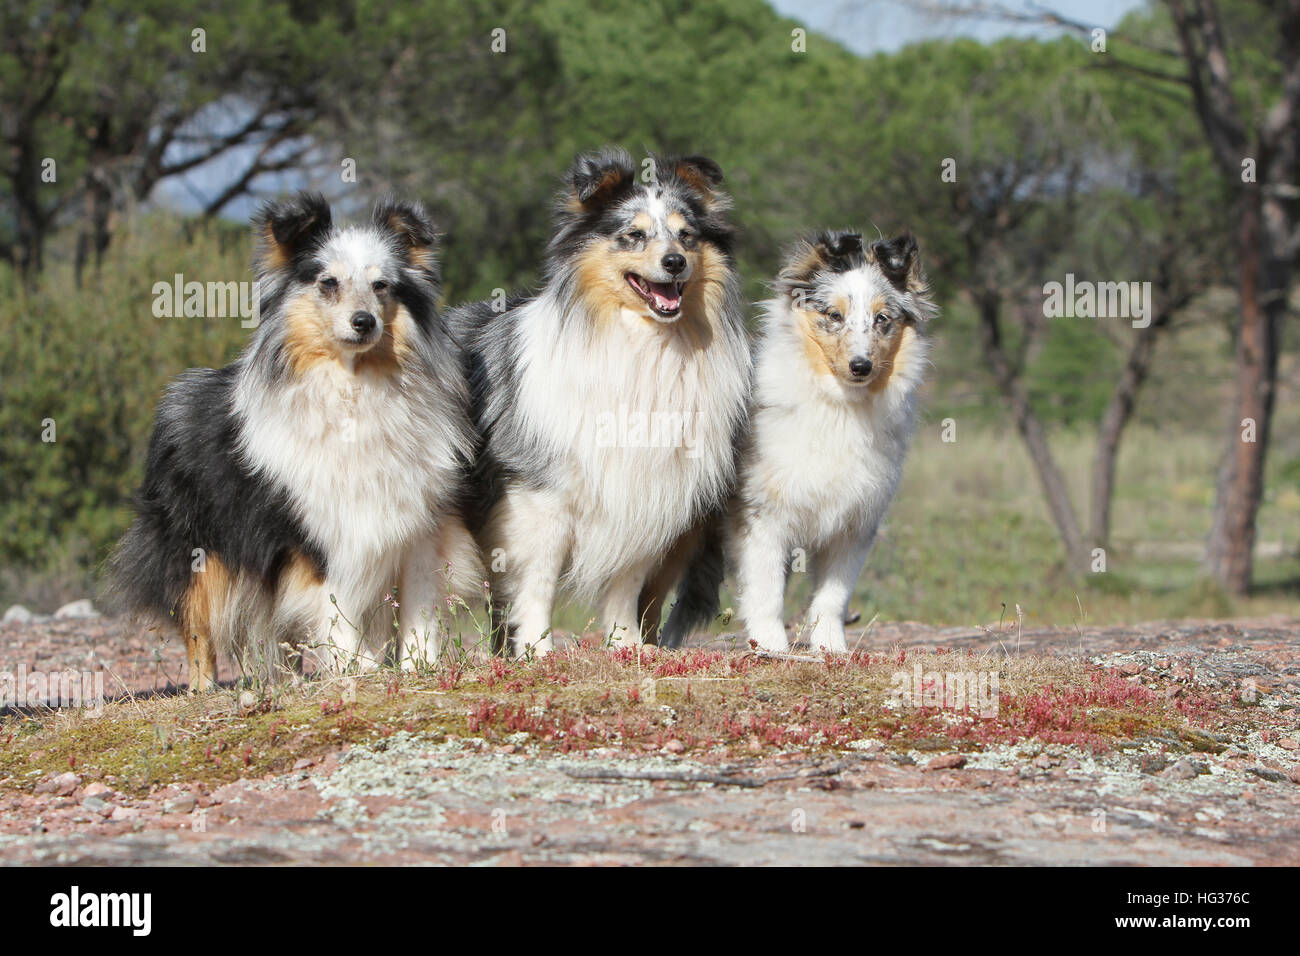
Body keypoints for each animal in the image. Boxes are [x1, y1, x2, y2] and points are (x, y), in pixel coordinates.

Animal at [109, 192, 480, 686]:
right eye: (328, 283)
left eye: (382, 285)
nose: (364, 322)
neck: (354, 388)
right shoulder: (317, 534)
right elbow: (336, 613)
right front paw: (358, 670)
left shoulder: (419, 526)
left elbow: (420, 609)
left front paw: (420, 668)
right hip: (199, 551)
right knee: (199, 630)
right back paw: (205, 687)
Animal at [449, 147, 748, 658]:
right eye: (634, 235)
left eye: (686, 235)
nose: (675, 263)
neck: (643, 344)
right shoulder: (538, 499)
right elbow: (538, 583)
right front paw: (538, 654)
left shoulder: (644, 493)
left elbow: (625, 583)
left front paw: (627, 648)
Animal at [660, 227, 935, 655]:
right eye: (834, 315)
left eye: (882, 319)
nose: (861, 366)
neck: (838, 405)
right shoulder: (761, 517)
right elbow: (766, 591)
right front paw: (772, 646)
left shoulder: (854, 525)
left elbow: (832, 596)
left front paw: (831, 649)